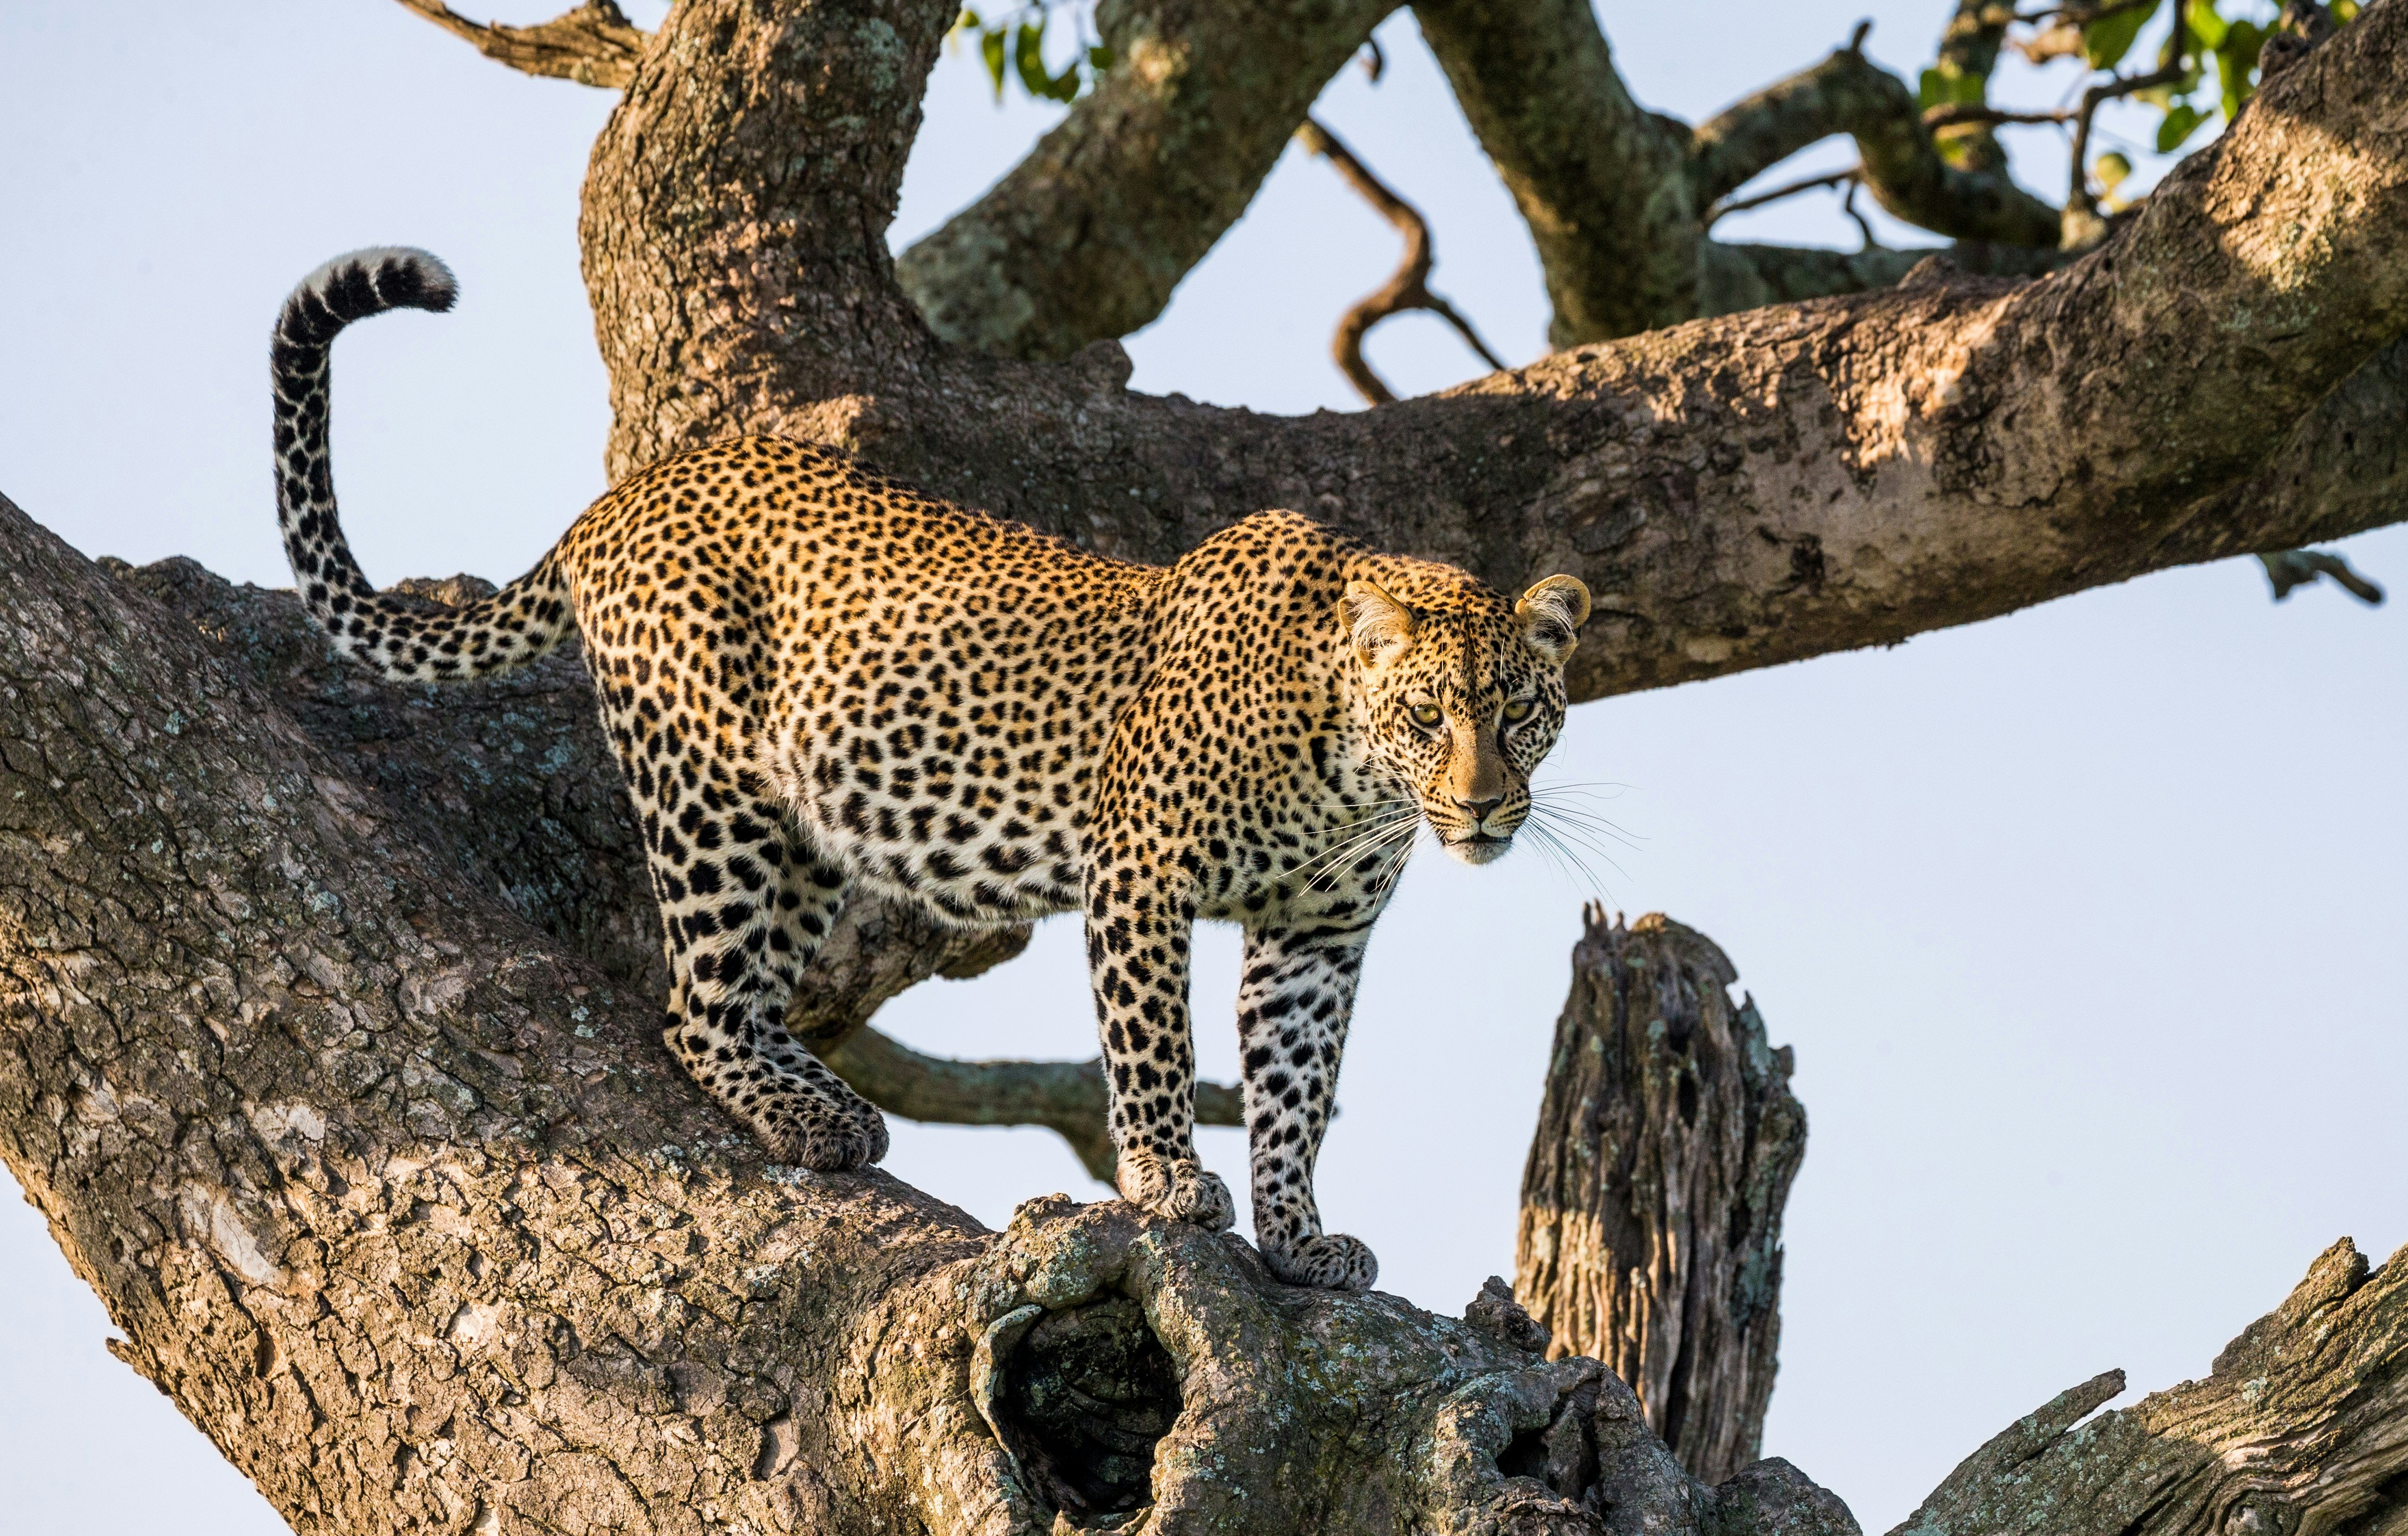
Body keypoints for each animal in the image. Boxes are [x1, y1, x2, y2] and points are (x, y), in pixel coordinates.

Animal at [268, 247, 1592, 1291]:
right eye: (1427, 713)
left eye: (1522, 713)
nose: (1482, 805)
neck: (1348, 781)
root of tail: (631, 492)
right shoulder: (1140, 878)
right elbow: (1157, 1046)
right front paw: (1167, 1178)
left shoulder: (1316, 939)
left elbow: (1295, 1095)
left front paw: (1300, 1237)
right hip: (709, 787)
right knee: (696, 1007)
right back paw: (803, 1116)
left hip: (807, 828)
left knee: (753, 987)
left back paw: (833, 1101)